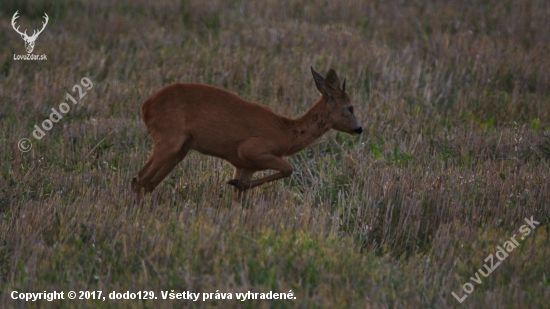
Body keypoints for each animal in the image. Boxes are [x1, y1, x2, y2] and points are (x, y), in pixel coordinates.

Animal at [132, 67, 364, 201]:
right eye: (350, 107)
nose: (359, 128)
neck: (285, 134)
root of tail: (145, 106)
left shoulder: (243, 165)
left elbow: (239, 198)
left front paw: (238, 188)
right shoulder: (251, 149)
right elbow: (289, 169)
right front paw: (237, 184)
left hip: (181, 148)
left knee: (147, 184)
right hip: (169, 138)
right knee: (139, 180)